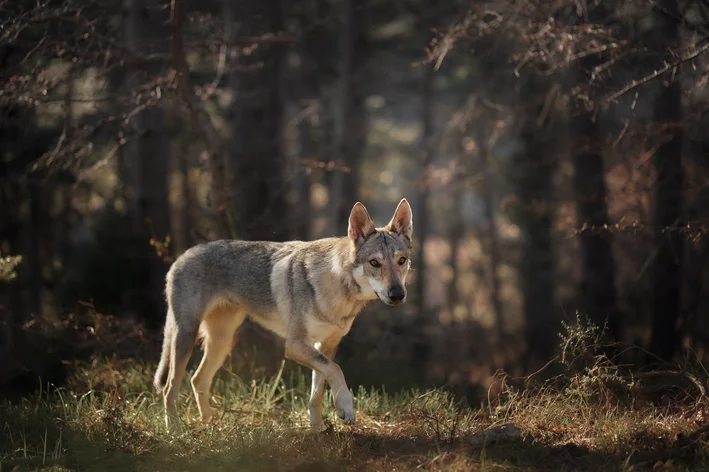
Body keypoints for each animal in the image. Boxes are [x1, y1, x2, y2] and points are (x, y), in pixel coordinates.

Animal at [152, 199, 412, 432]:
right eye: (374, 263)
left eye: (402, 261)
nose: (397, 295)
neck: (337, 286)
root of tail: (182, 256)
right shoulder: (295, 345)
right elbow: (336, 369)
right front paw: (345, 408)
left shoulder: (325, 347)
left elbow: (317, 392)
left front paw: (318, 430)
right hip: (186, 337)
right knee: (169, 388)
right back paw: (175, 431)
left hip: (222, 342)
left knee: (198, 380)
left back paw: (210, 425)